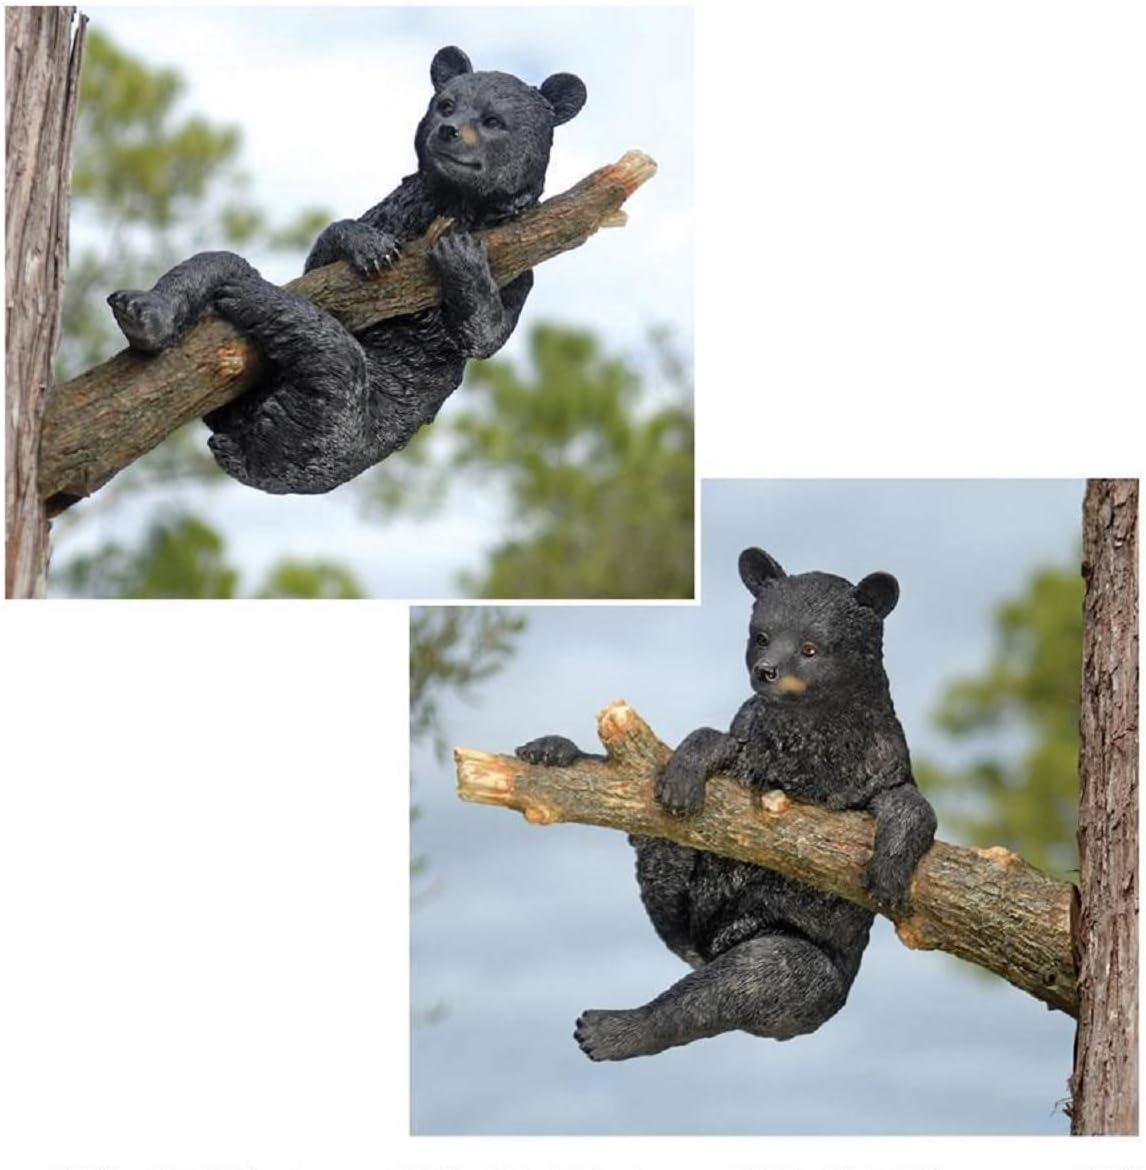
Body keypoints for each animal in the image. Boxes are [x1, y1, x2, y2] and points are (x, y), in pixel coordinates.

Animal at [106, 46, 587, 494]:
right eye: (445, 104)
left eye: (493, 121)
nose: (448, 131)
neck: (454, 204)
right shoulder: (394, 212)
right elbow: (324, 254)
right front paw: (367, 245)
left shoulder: (520, 265)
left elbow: (487, 334)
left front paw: (461, 257)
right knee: (217, 263)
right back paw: (145, 314)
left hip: (346, 426)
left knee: (332, 360)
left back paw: (252, 299)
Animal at [515, 547, 938, 1061]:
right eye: (761, 636)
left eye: (811, 648)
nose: (766, 671)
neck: (810, 744)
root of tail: (713, 944)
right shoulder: (747, 749)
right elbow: (709, 737)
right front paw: (682, 775)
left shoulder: (884, 769)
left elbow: (915, 807)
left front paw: (889, 877)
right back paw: (553, 751)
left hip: (795, 964)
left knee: (727, 987)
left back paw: (609, 1029)